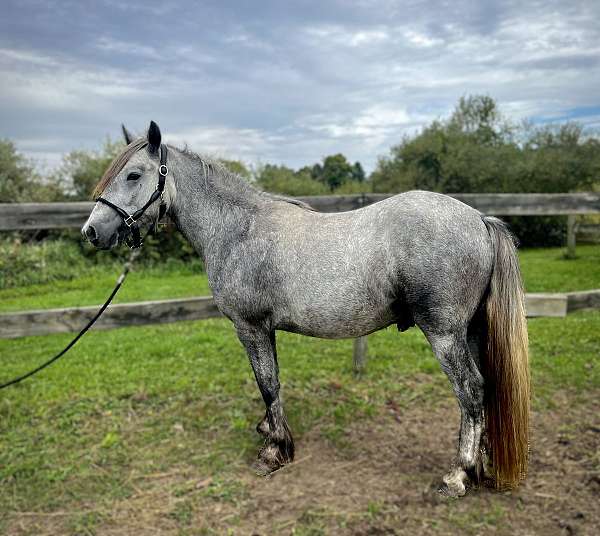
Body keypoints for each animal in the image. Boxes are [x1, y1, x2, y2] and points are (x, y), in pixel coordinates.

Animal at [82, 121, 528, 498]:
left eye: (133, 175)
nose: (92, 231)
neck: (238, 229)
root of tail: (479, 218)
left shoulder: (250, 327)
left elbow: (267, 384)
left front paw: (274, 451)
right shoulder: (265, 330)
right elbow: (271, 383)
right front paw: (269, 431)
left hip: (444, 334)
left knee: (470, 392)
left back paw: (458, 475)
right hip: (470, 332)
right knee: (483, 391)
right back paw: (480, 466)